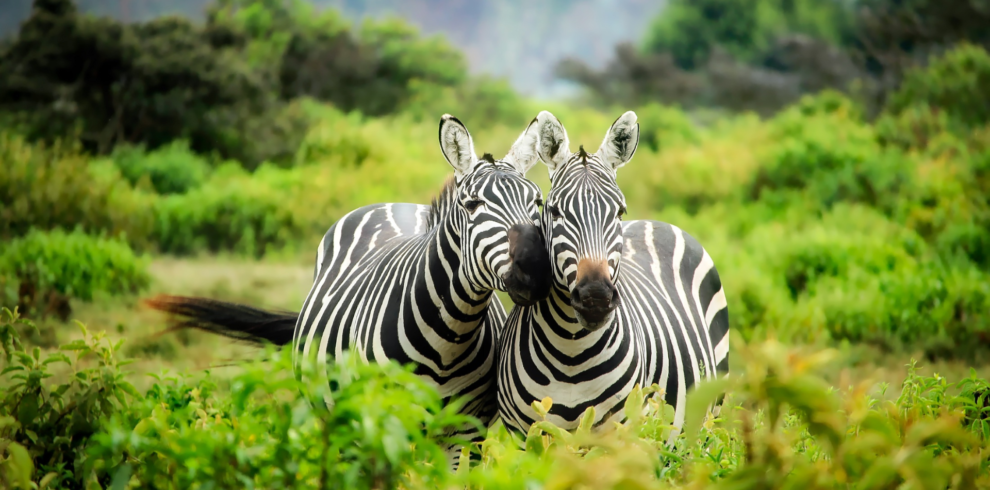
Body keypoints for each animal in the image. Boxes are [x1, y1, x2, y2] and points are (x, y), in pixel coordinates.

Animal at [147, 115, 556, 464]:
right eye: (472, 205)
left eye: (537, 202)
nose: (536, 270)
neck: (449, 338)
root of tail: (394, 203)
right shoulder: (380, 424)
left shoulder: (465, 434)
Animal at [500, 111, 732, 436]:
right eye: (555, 211)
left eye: (619, 212)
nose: (595, 297)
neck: (570, 352)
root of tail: (655, 221)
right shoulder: (526, 435)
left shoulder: (619, 433)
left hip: (709, 415)